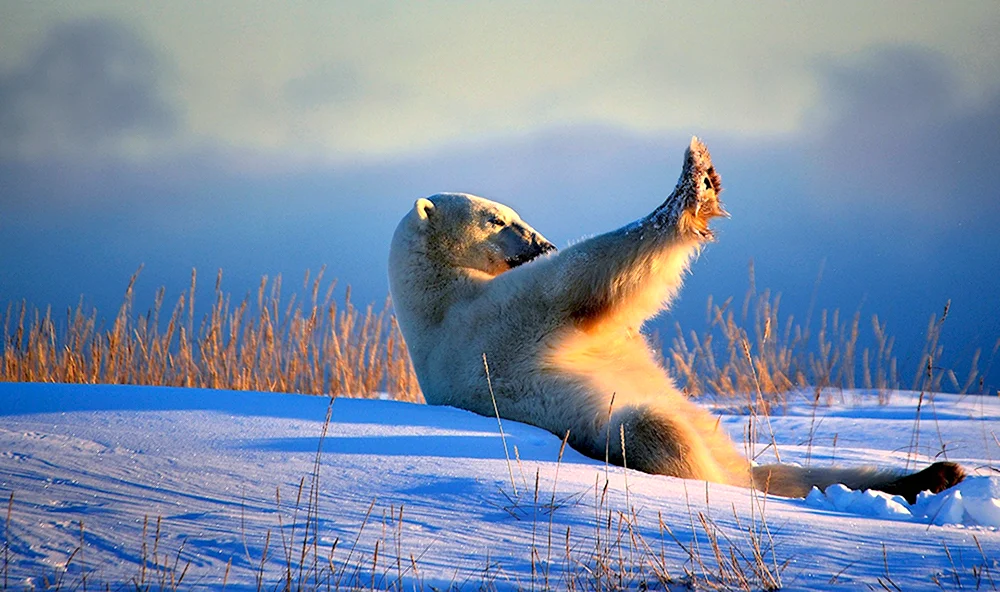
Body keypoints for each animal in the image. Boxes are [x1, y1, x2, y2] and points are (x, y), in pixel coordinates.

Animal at [386, 138, 964, 500]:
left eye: (512, 213)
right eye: (496, 219)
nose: (541, 242)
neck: (434, 303)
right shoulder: (486, 325)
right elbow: (579, 278)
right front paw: (695, 182)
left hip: (734, 447)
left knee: (799, 470)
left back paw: (934, 474)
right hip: (622, 430)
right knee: (657, 431)